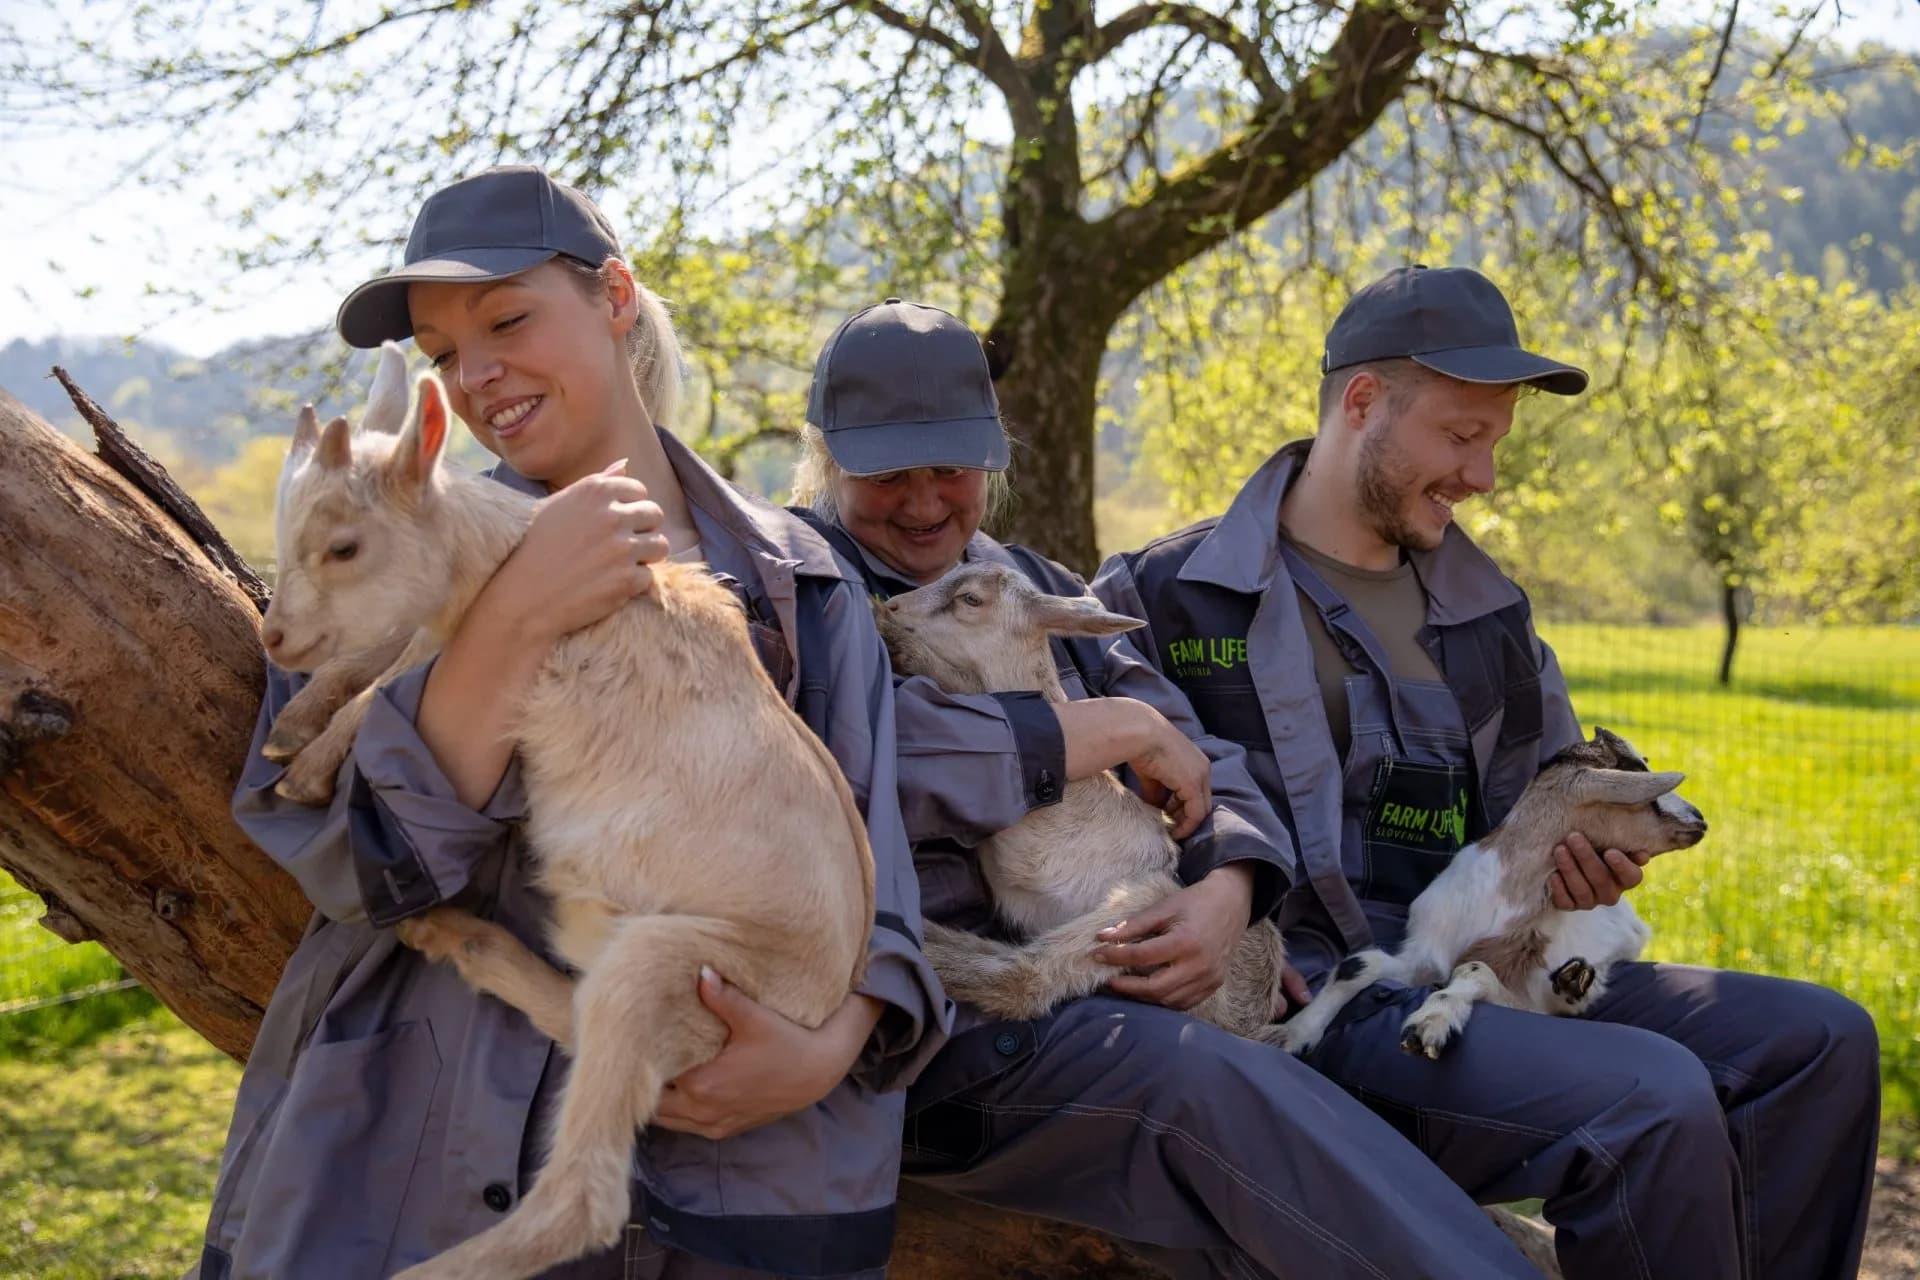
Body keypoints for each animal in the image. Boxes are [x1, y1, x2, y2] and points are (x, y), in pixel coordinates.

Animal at [873, 561, 1288, 1043]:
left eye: (970, 599)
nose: (893, 606)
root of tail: (1248, 1021)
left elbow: (963, 688)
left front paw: (894, 638)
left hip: (1139, 910)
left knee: (1027, 978)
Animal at [1274, 727, 1707, 1060]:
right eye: (1636, 771)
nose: (1700, 819)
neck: (1510, 903)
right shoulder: (1427, 954)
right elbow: (1359, 964)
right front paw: (1292, 1034)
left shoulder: (1527, 1000)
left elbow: (1475, 971)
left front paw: (1429, 1026)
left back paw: (1575, 983)